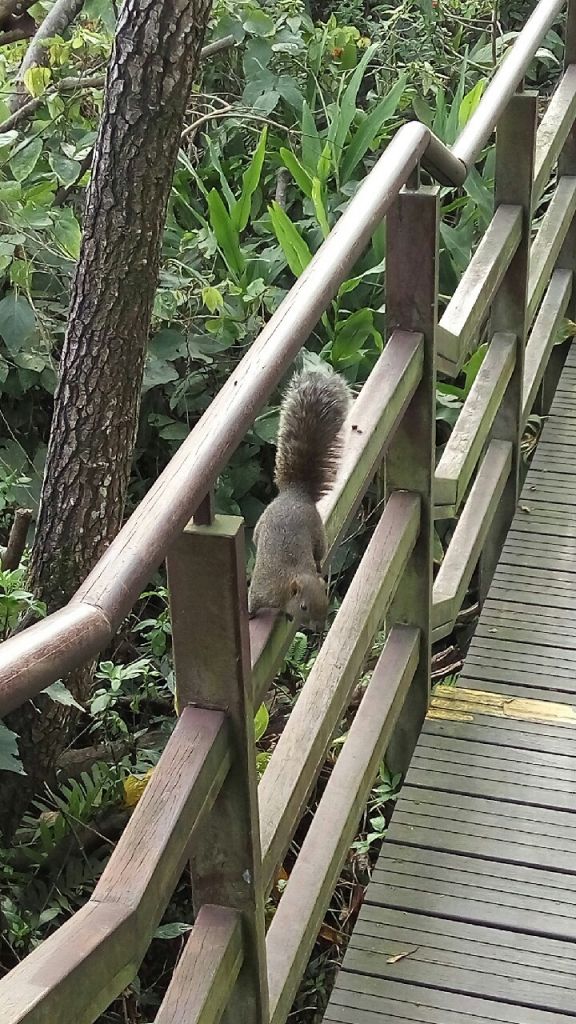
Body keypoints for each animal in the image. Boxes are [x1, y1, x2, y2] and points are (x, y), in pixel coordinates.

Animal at [247, 364, 350, 626]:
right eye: (304, 607)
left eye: (326, 603)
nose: (320, 627)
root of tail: (296, 493)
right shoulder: (263, 588)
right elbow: (253, 601)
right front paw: (250, 615)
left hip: (317, 535)